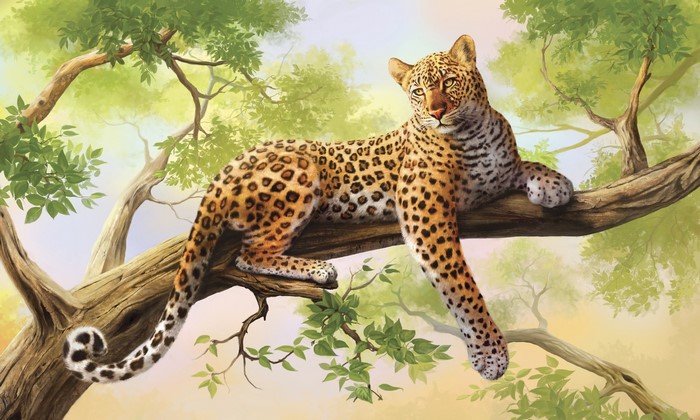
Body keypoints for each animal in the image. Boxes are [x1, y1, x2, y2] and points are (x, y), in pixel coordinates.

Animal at [63, 35, 573, 384]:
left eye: (448, 81)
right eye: (417, 91)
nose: (437, 111)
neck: (472, 132)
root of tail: (225, 169)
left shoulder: (495, 174)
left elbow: (522, 164)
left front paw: (555, 184)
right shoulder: (425, 214)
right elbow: (461, 286)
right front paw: (490, 352)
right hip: (300, 173)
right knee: (250, 253)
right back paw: (319, 270)